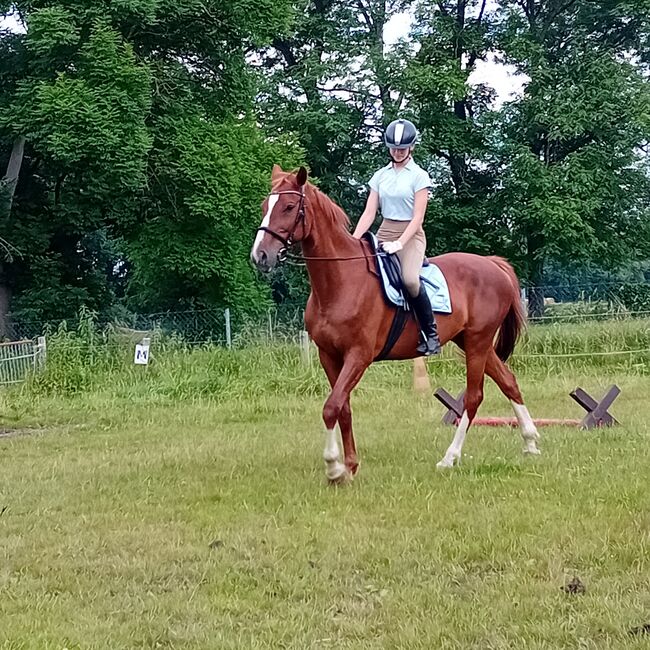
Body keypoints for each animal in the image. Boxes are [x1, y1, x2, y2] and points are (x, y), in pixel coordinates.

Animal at [251, 166, 540, 480]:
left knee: (474, 397)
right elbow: (342, 407)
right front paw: (350, 465)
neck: (341, 280)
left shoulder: (359, 355)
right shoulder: (328, 355)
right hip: (472, 342)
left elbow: (331, 407)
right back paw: (531, 443)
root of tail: (492, 263)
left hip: (478, 341)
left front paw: (334, 467)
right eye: (265, 207)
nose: (260, 255)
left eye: (289, 207)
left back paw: (449, 457)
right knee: (508, 381)